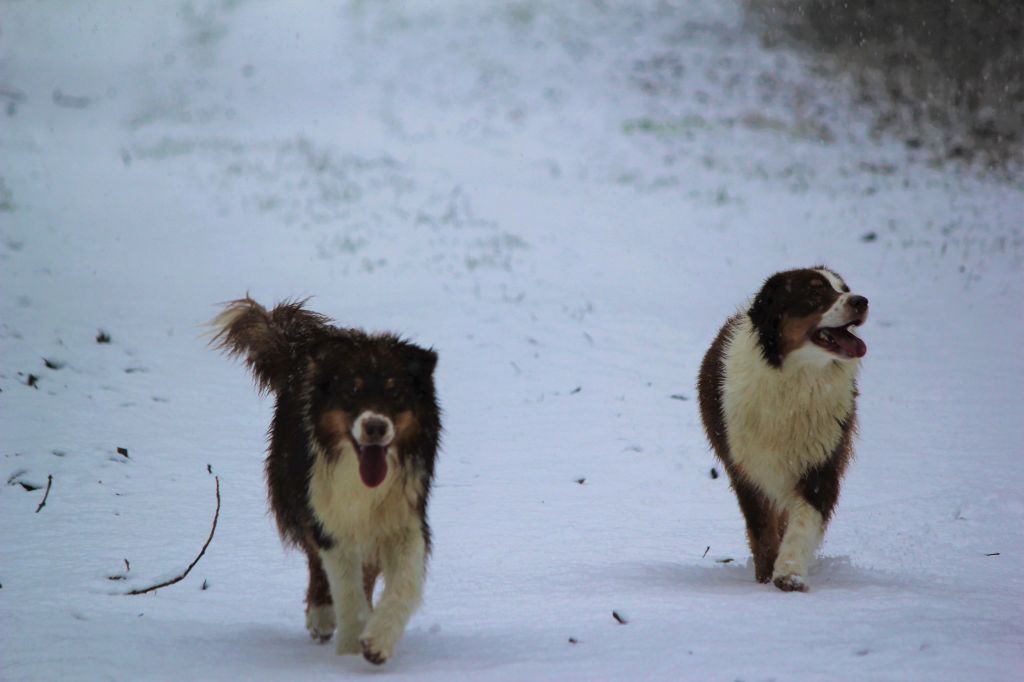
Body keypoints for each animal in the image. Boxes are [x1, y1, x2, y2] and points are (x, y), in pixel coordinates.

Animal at [696, 266, 864, 589]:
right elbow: (762, 530)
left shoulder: (822, 461)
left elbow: (802, 524)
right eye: (814, 293)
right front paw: (765, 576)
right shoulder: (748, 468)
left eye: (844, 289)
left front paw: (790, 573)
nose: (861, 301)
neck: (797, 378)